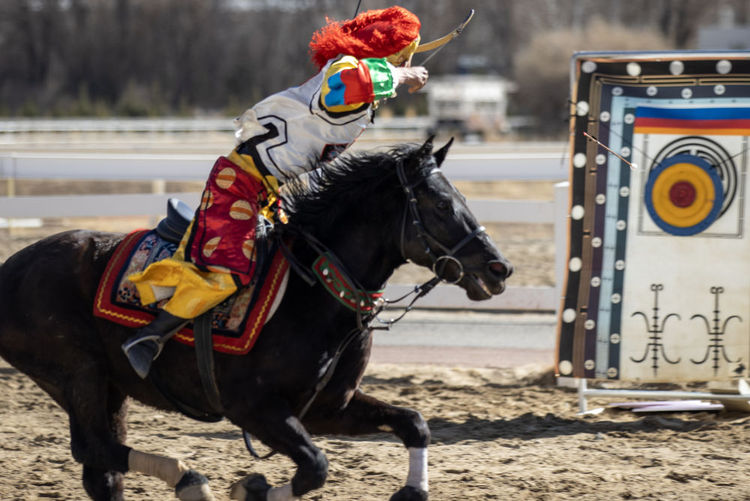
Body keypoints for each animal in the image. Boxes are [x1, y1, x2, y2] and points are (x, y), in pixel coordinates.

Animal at [0, 138, 512, 500]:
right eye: (442, 204)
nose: (499, 268)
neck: (313, 290)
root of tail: (12, 267)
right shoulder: (252, 407)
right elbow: (315, 466)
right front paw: (251, 488)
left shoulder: (329, 407)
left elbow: (413, 422)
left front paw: (411, 491)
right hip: (76, 372)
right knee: (95, 449)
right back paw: (188, 480)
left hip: (107, 384)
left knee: (101, 468)